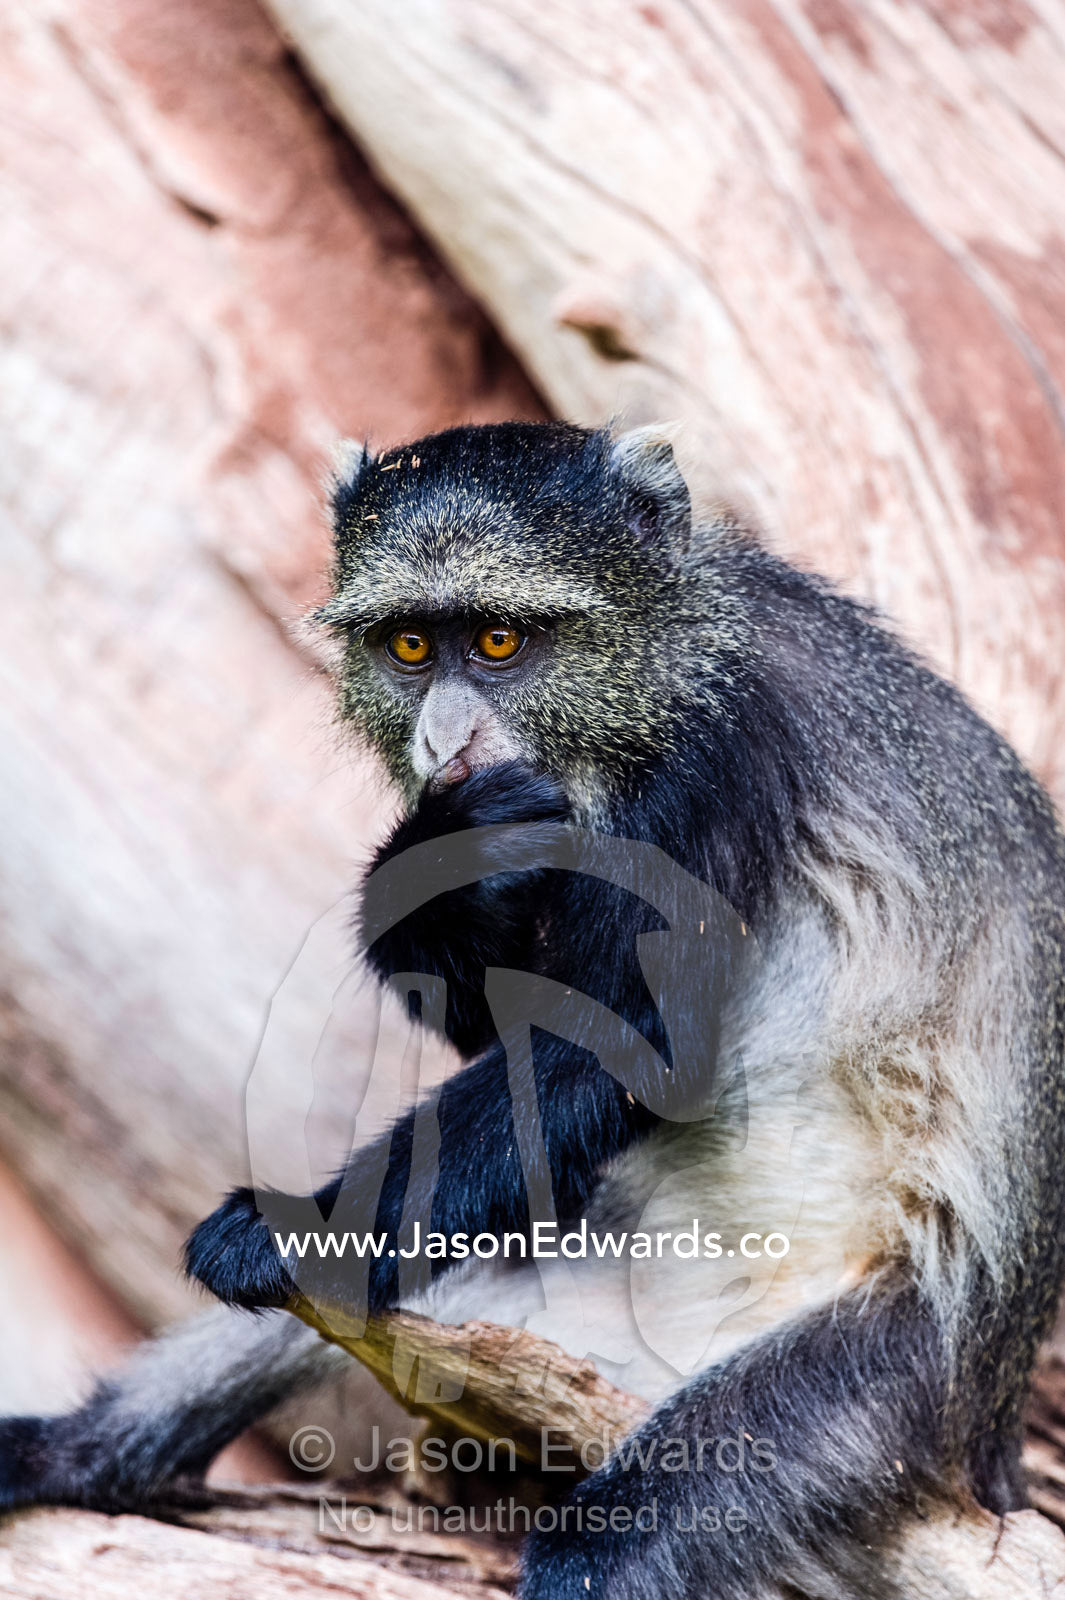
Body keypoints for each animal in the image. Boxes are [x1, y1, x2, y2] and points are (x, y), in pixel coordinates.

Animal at [2, 419, 1065, 1600]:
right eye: (411, 649)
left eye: (500, 641)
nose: (447, 740)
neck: (672, 648)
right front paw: (437, 878)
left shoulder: (708, 762)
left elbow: (616, 1051)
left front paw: (278, 1232)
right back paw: (81, 1446)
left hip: (882, 1387)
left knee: (615, 1546)